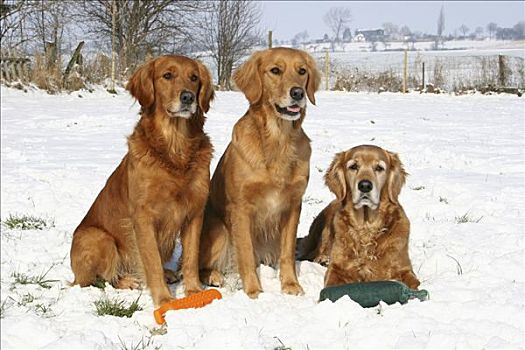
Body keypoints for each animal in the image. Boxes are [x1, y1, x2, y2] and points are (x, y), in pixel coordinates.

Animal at [70, 54, 214, 306]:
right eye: (167, 75)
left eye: (194, 78)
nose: (188, 97)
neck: (175, 146)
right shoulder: (143, 217)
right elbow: (151, 260)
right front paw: (165, 300)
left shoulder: (195, 212)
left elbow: (191, 256)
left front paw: (195, 291)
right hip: (97, 237)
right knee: (99, 279)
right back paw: (128, 280)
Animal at [196, 46, 320, 298]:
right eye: (275, 71)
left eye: (302, 71)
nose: (298, 93)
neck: (279, 140)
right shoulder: (241, 208)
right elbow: (245, 253)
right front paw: (254, 291)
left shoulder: (293, 205)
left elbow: (287, 253)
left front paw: (290, 285)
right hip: (219, 231)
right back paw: (214, 275)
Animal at [296, 145, 420, 290]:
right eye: (353, 166)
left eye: (379, 168)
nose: (365, 186)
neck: (366, 228)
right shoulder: (337, 268)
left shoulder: (404, 268)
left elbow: (414, 283)